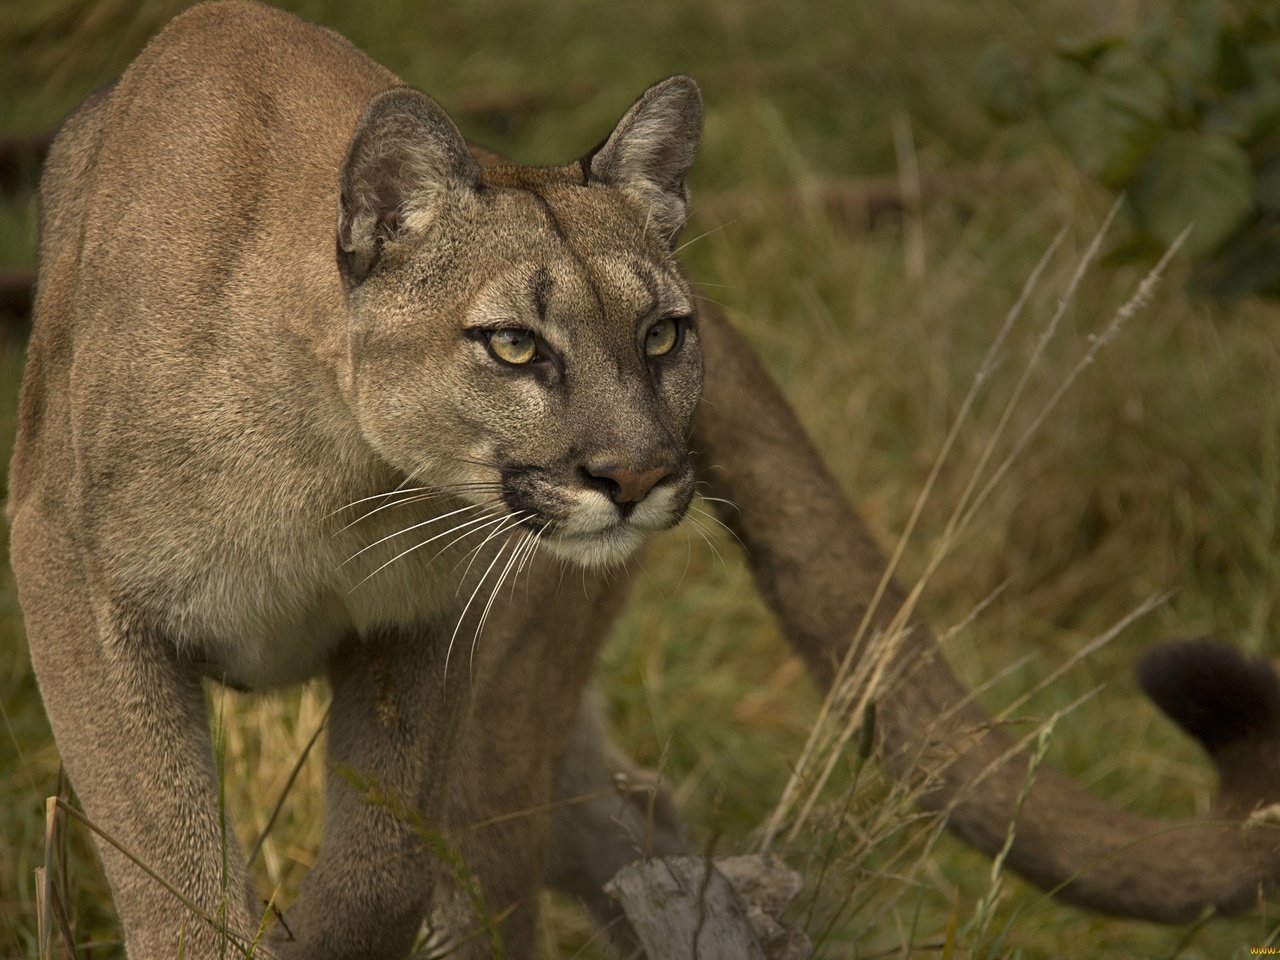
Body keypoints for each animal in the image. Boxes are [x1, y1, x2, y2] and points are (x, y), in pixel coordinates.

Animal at [10, 1, 1280, 960]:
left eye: (660, 334)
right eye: (514, 346)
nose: (637, 473)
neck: (346, 477)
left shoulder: (428, 627)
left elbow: (382, 866)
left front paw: (298, 939)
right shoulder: (74, 583)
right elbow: (166, 856)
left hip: (514, 700)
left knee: (528, 862)